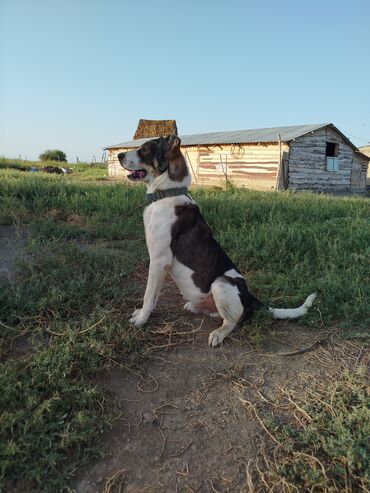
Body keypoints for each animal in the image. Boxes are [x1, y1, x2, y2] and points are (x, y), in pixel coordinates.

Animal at [118, 135, 316, 346]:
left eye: (145, 149)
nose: (119, 155)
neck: (167, 194)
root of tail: (250, 297)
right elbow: (152, 296)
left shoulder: (158, 261)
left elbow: (149, 296)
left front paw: (141, 320)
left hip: (221, 283)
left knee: (232, 321)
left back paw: (218, 334)